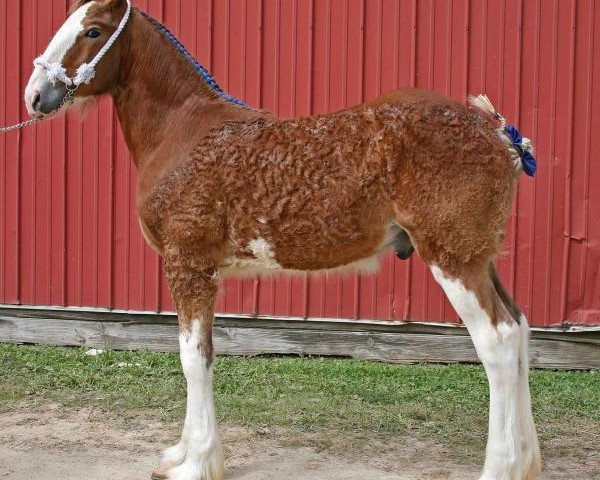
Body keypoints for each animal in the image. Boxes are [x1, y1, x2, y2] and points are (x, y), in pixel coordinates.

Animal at [23, 0, 540, 480]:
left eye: (92, 30)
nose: (35, 96)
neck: (182, 131)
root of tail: (499, 134)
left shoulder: (188, 263)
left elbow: (194, 358)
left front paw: (197, 463)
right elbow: (198, 354)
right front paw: (181, 453)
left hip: (452, 258)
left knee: (496, 341)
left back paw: (499, 466)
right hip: (479, 257)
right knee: (518, 330)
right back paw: (527, 461)